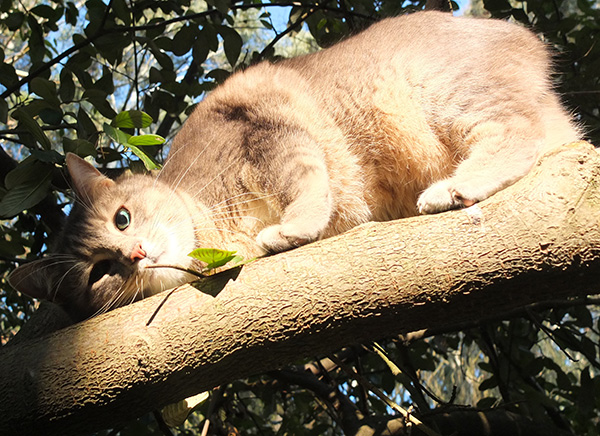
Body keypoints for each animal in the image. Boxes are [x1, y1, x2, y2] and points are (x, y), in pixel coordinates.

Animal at [8, 11, 580, 320]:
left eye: (122, 218)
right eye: (99, 273)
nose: (135, 255)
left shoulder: (265, 128)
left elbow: (305, 183)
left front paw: (289, 229)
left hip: (443, 95)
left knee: (516, 133)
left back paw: (453, 189)